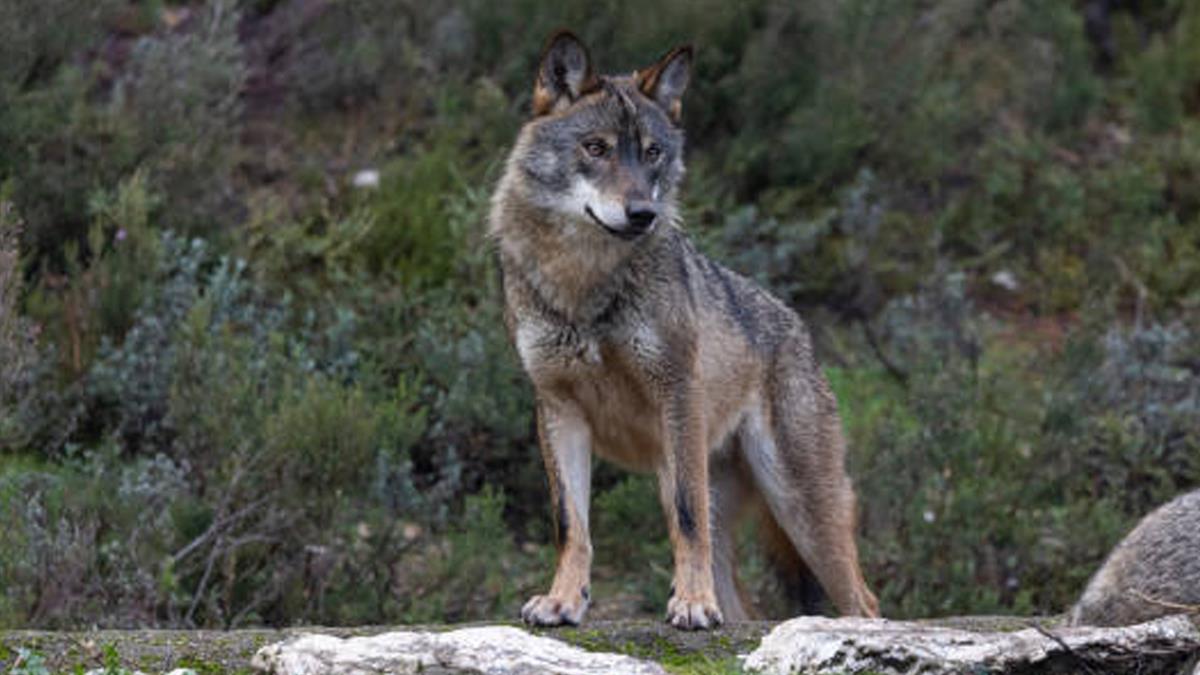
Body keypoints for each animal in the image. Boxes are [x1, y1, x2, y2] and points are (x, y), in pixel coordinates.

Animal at [487, 30, 883, 629]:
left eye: (652, 152)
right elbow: (570, 523)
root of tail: (797, 326)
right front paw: (563, 599)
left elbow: (686, 518)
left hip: (802, 513)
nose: (642, 213)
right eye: (596, 148)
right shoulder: (558, 409)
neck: (583, 283)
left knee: (866, 602)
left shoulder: (676, 394)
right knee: (744, 608)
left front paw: (692, 603)